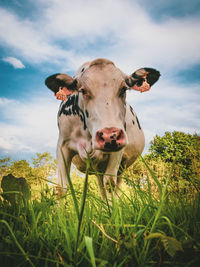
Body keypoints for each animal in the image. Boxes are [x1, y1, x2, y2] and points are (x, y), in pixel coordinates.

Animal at [45, 58, 159, 200]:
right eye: (83, 90)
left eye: (123, 89)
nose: (108, 135)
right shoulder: (63, 145)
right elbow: (61, 188)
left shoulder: (118, 148)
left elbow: (110, 184)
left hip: (122, 165)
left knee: (114, 187)